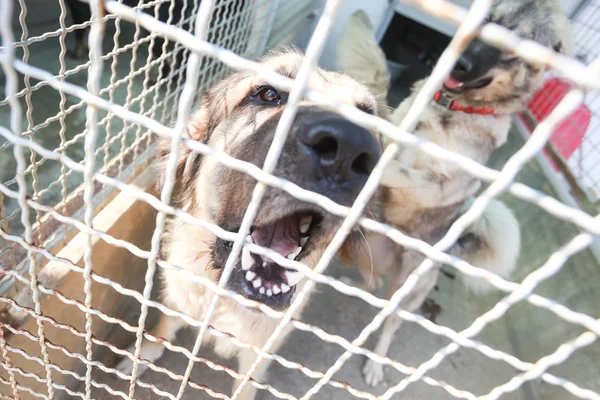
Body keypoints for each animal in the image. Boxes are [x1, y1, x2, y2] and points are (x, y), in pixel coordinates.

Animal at [115, 50, 382, 400]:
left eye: (368, 119)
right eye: (268, 95)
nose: (349, 147)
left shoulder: (258, 355)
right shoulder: (178, 297)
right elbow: (163, 327)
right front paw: (143, 354)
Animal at [338, 0, 572, 388]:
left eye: (515, 50)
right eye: (487, 21)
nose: (459, 62)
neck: (453, 108)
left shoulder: (440, 185)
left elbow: (401, 168)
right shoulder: (402, 121)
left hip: (408, 291)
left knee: (388, 322)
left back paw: (375, 363)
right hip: (363, 250)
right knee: (372, 282)